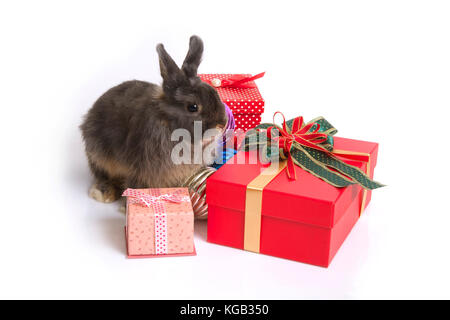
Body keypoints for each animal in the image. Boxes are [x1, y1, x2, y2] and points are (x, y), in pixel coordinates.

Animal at [79, 36, 227, 204]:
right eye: (193, 107)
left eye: (214, 92)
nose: (221, 124)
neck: (168, 123)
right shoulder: (140, 169)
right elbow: (136, 185)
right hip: (98, 155)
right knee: (102, 175)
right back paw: (105, 193)